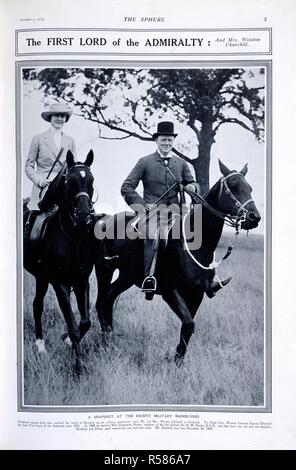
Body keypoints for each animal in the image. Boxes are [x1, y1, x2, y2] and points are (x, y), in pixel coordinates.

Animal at [24, 149, 96, 372]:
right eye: (69, 181)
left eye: (91, 180)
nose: (84, 216)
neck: (73, 237)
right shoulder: (60, 284)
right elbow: (73, 327)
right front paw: (78, 367)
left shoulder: (82, 282)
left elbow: (85, 322)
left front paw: (67, 341)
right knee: (37, 305)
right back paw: (40, 346)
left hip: (41, 277)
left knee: (37, 304)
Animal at [95, 162, 262, 364]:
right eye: (235, 186)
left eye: (250, 188)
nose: (254, 218)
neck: (195, 243)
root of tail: (105, 219)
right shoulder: (171, 292)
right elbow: (189, 324)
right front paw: (175, 360)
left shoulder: (197, 294)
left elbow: (187, 328)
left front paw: (177, 361)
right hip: (105, 270)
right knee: (101, 300)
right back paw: (105, 341)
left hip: (126, 276)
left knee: (109, 298)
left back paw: (109, 337)